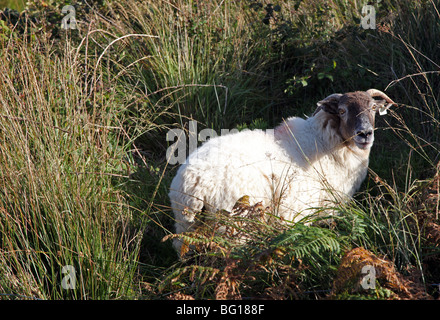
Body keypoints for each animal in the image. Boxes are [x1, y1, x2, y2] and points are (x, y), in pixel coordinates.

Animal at [168, 89, 396, 254]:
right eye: (341, 111)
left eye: (373, 108)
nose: (364, 134)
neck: (325, 143)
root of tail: (195, 183)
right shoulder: (295, 213)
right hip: (234, 225)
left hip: (185, 227)